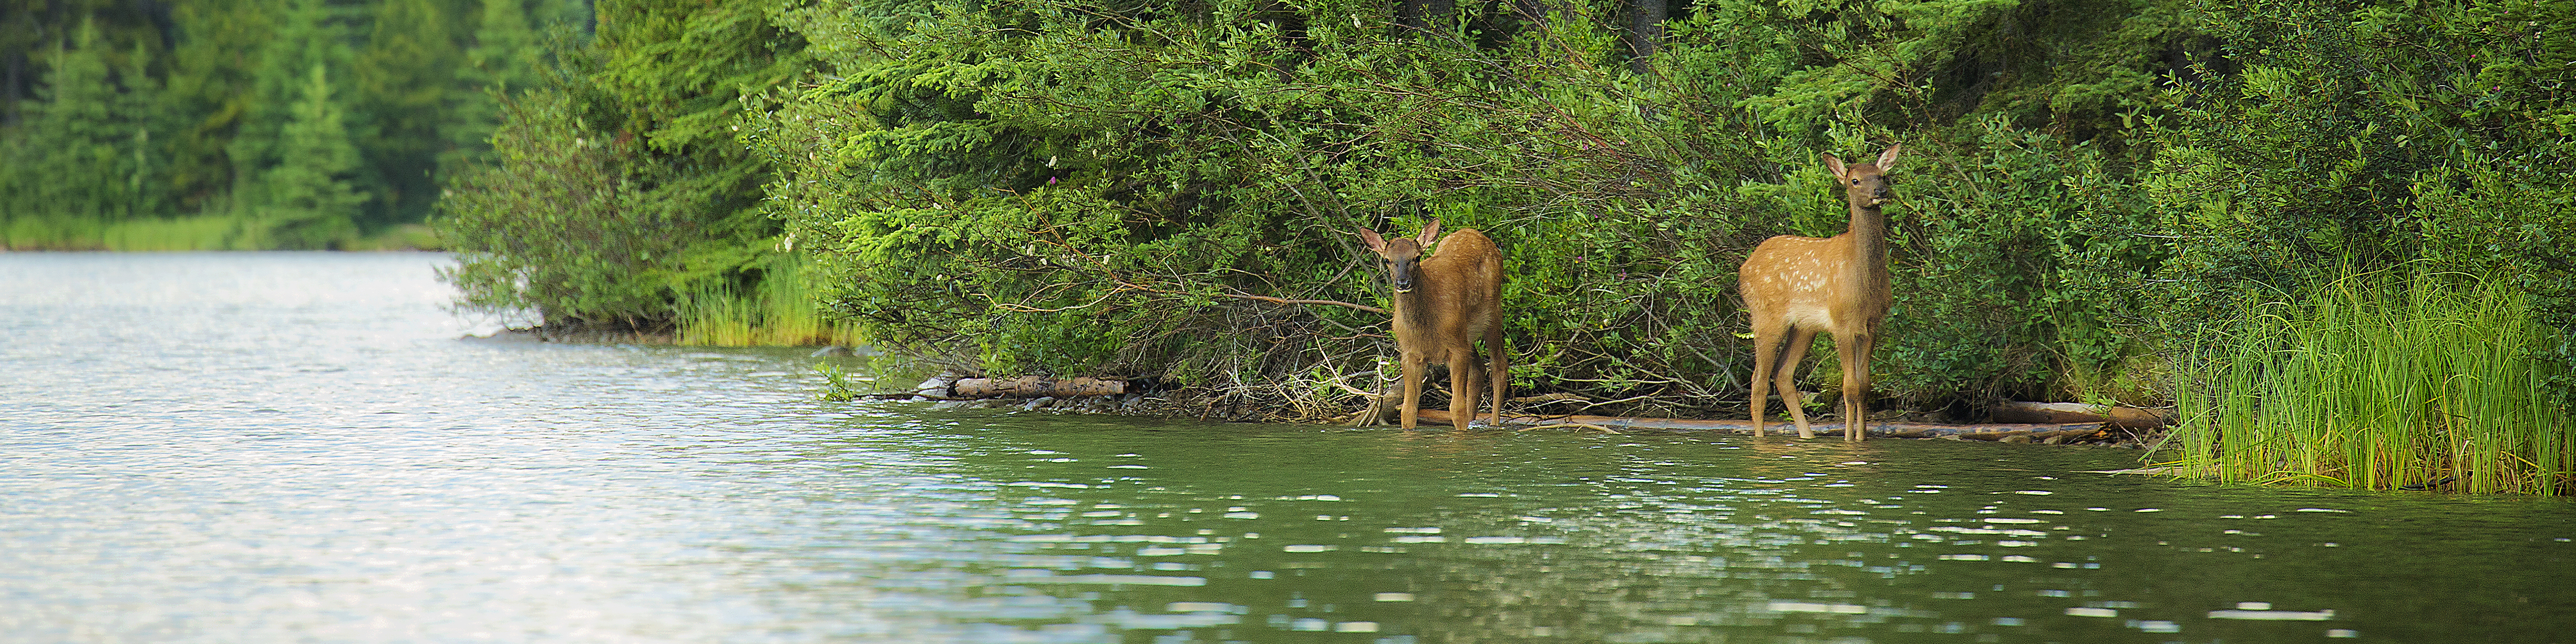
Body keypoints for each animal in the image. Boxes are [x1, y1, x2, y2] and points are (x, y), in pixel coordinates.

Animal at [1356, 219, 1506, 430]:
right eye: (1387, 260)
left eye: (1417, 258)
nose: (1403, 282)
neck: (1425, 327)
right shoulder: (1410, 353)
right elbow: (1408, 409)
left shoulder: (1456, 348)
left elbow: (1456, 408)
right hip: (1467, 333)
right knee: (1479, 369)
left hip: (1492, 314)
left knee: (1499, 364)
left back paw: (1494, 424)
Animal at [1740, 144, 1901, 441]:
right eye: (1855, 180)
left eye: (1882, 175)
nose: (1881, 192)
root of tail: (1745, 267)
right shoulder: (1841, 322)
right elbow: (1850, 387)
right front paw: (1849, 441)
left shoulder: (1872, 324)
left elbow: (1865, 386)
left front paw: (1862, 439)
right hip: (1766, 315)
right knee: (1759, 380)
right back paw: (1761, 438)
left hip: (1805, 326)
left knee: (1783, 373)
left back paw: (1808, 436)